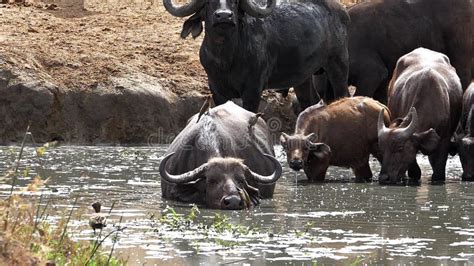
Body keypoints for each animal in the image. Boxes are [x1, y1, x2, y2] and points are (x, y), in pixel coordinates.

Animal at [165, 0, 350, 111]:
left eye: (234, 2)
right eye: (208, 2)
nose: (224, 16)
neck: (226, 59)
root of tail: (342, 12)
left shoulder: (253, 89)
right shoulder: (216, 89)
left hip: (338, 63)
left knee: (343, 94)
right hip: (303, 78)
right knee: (310, 102)